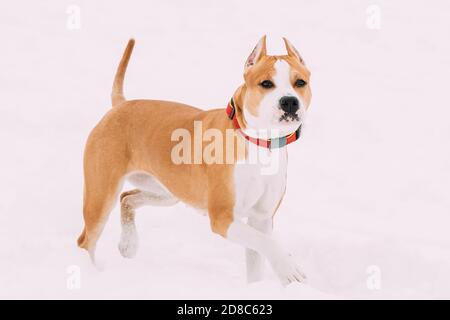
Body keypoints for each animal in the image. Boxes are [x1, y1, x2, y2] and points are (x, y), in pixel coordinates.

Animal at [77, 37, 312, 284]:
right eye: (266, 83)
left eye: (300, 82)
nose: (289, 102)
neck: (259, 142)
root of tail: (120, 105)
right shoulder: (222, 218)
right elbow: (267, 242)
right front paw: (289, 268)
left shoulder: (261, 218)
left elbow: (258, 253)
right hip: (101, 196)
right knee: (86, 240)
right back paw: (91, 271)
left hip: (167, 192)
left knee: (127, 198)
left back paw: (128, 245)